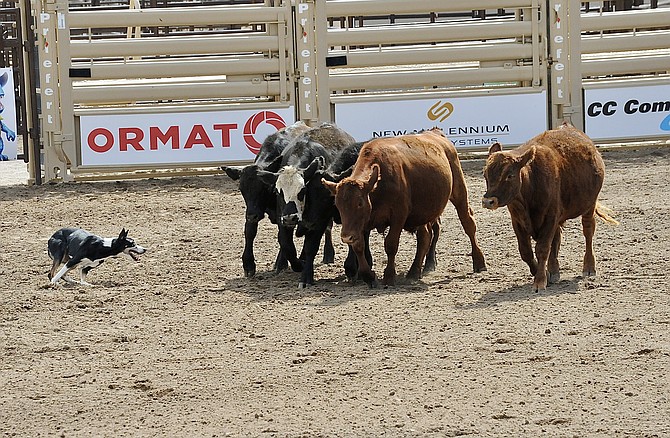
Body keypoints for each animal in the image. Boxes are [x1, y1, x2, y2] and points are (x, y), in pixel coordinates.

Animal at [322, 127, 486, 288]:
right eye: (337, 205)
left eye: (360, 203)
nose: (346, 236)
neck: (380, 182)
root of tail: (436, 133)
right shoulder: (361, 223)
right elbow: (358, 246)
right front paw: (369, 276)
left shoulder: (398, 216)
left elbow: (391, 244)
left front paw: (389, 276)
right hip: (422, 212)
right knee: (425, 236)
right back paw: (414, 271)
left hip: (459, 192)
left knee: (468, 223)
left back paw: (479, 262)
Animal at [484, 121, 620, 290]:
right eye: (485, 174)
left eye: (510, 175)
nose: (488, 201)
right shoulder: (517, 221)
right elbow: (526, 252)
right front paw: (544, 273)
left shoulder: (550, 217)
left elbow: (542, 249)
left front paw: (540, 280)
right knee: (556, 240)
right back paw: (554, 271)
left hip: (589, 206)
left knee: (588, 232)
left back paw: (589, 267)